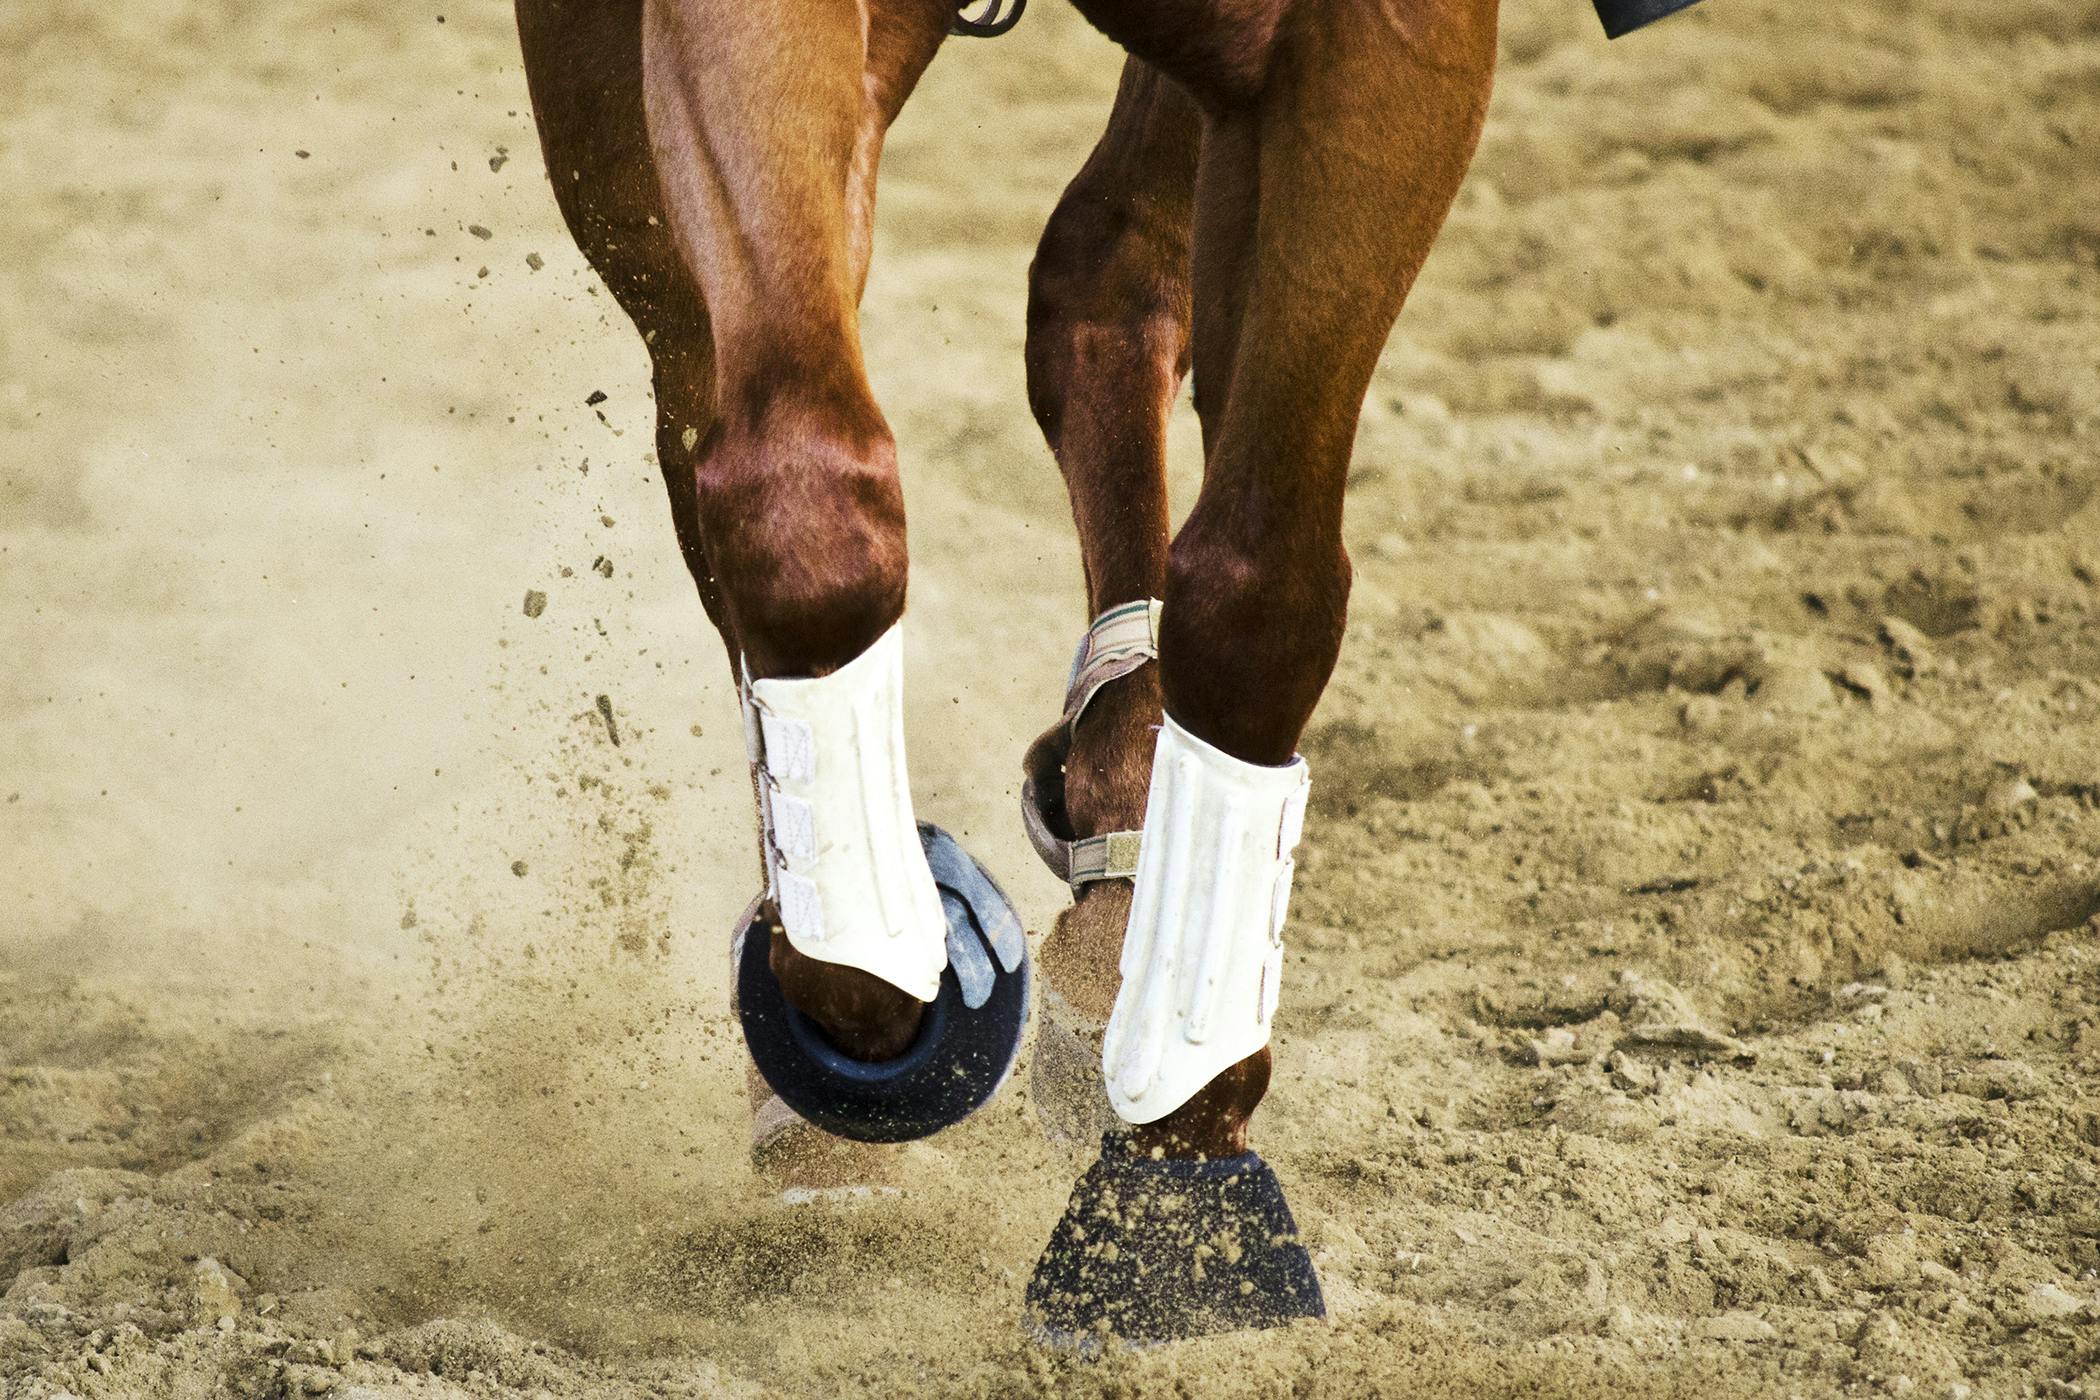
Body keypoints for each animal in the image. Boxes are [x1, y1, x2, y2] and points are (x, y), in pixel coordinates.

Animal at [513, 0, 1702, 1347]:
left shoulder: (1377, 51)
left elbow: (1264, 584)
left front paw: (1179, 1177)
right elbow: (792, 492)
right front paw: (867, 995)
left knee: (1110, 271)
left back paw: (1121, 911)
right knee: (721, 377)